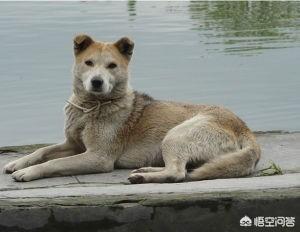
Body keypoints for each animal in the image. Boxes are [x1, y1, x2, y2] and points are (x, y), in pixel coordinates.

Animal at [2, 34, 260, 183]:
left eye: (112, 66)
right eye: (89, 63)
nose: (97, 81)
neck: (90, 108)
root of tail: (245, 129)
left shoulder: (98, 157)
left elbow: (53, 163)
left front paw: (28, 172)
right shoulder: (73, 144)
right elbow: (42, 151)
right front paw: (18, 163)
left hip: (175, 135)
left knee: (178, 173)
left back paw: (143, 177)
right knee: (178, 169)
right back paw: (146, 169)